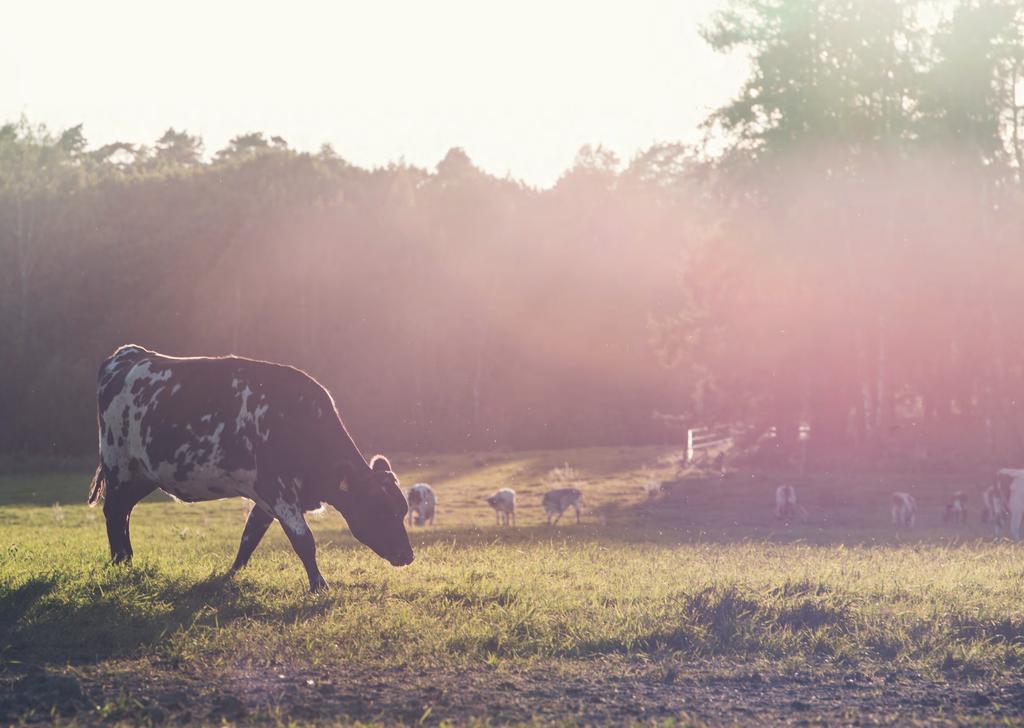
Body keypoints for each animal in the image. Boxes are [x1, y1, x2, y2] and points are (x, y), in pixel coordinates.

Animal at [88, 344, 413, 593]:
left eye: (402, 510)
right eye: (381, 510)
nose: (408, 556)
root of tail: (129, 354)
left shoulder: (268, 498)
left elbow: (250, 537)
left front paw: (231, 574)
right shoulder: (278, 490)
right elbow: (304, 540)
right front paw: (319, 585)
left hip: (142, 475)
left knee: (123, 512)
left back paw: (125, 561)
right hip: (119, 466)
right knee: (114, 512)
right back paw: (121, 563)